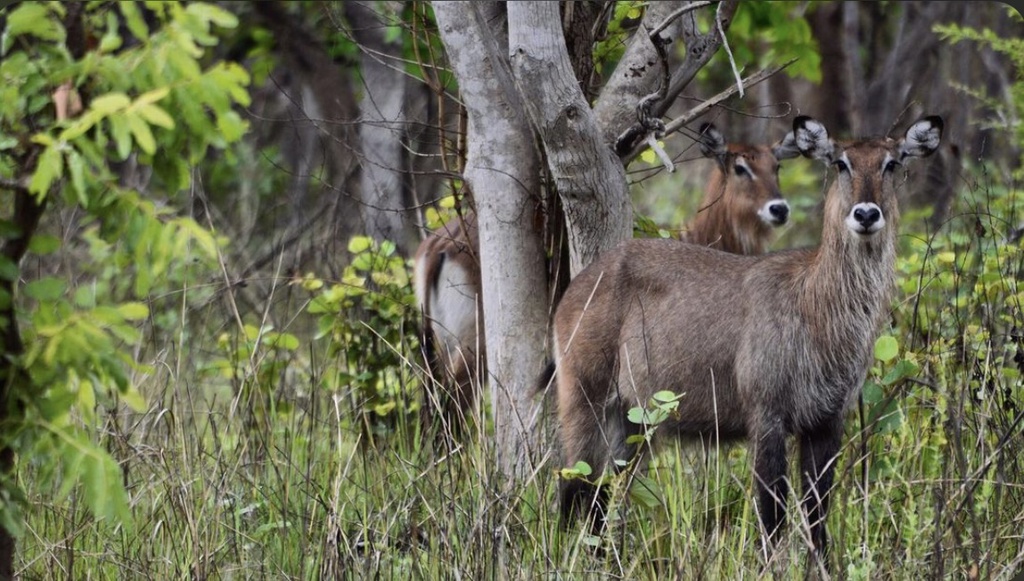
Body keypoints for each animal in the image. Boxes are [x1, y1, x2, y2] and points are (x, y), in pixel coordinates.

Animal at [415, 122, 798, 432]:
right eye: (740, 167)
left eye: (776, 166)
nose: (779, 209)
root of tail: (439, 245)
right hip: (475, 343)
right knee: (452, 402)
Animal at [552, 114, 942, 569]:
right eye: (840, 162)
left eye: (892, 163)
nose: (865, 214)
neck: (816, 307)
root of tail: (582, 281)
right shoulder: (767, 415)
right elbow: (772, 515)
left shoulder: (827, 421)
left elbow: (817, 515)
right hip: (584, 398)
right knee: (572, 486)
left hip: (632, 422)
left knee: (604, 494)